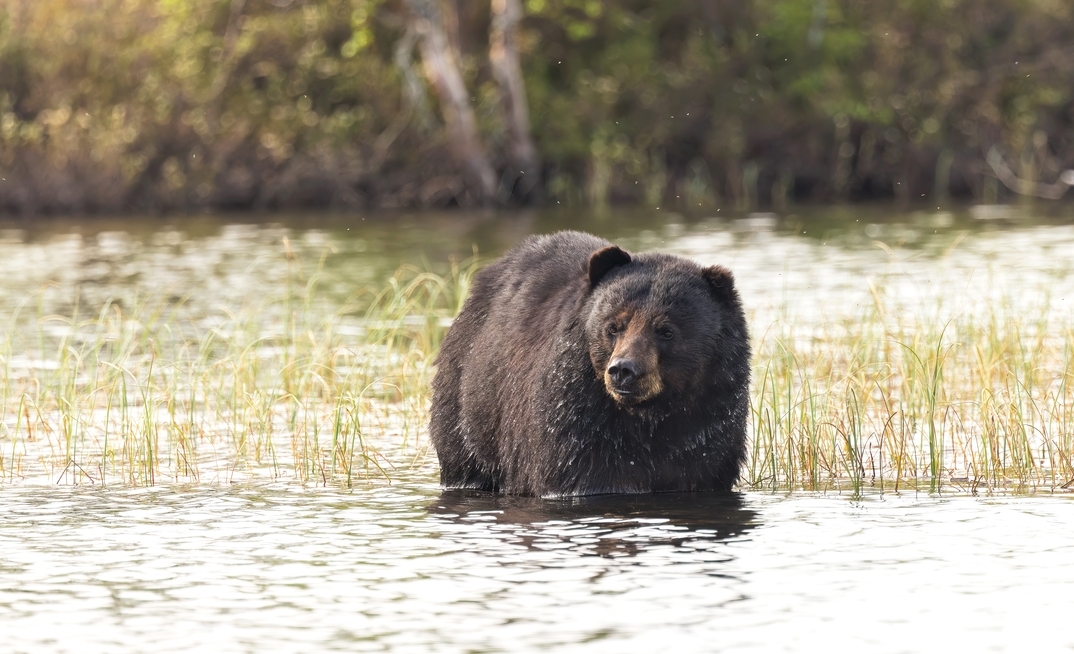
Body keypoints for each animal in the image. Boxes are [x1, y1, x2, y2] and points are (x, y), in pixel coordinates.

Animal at [429, 230, 750, 497]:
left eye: (666, 330)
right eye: (614, 326)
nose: (623, 370)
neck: (647, 417)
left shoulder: (707, 422)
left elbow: (700, 467)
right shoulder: (576, 423)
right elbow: (576, 474)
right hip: (469, 399)